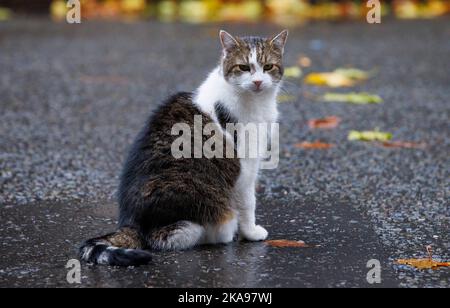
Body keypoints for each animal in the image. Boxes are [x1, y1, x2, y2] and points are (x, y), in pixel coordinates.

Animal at [78, 30, 286, 268]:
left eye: (268, 66)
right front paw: (251, 233)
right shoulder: (245, 167)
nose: (258, 81)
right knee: (176, 234)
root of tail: (132, 222)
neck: (255, 101)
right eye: (243, 67)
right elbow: (248, 203)